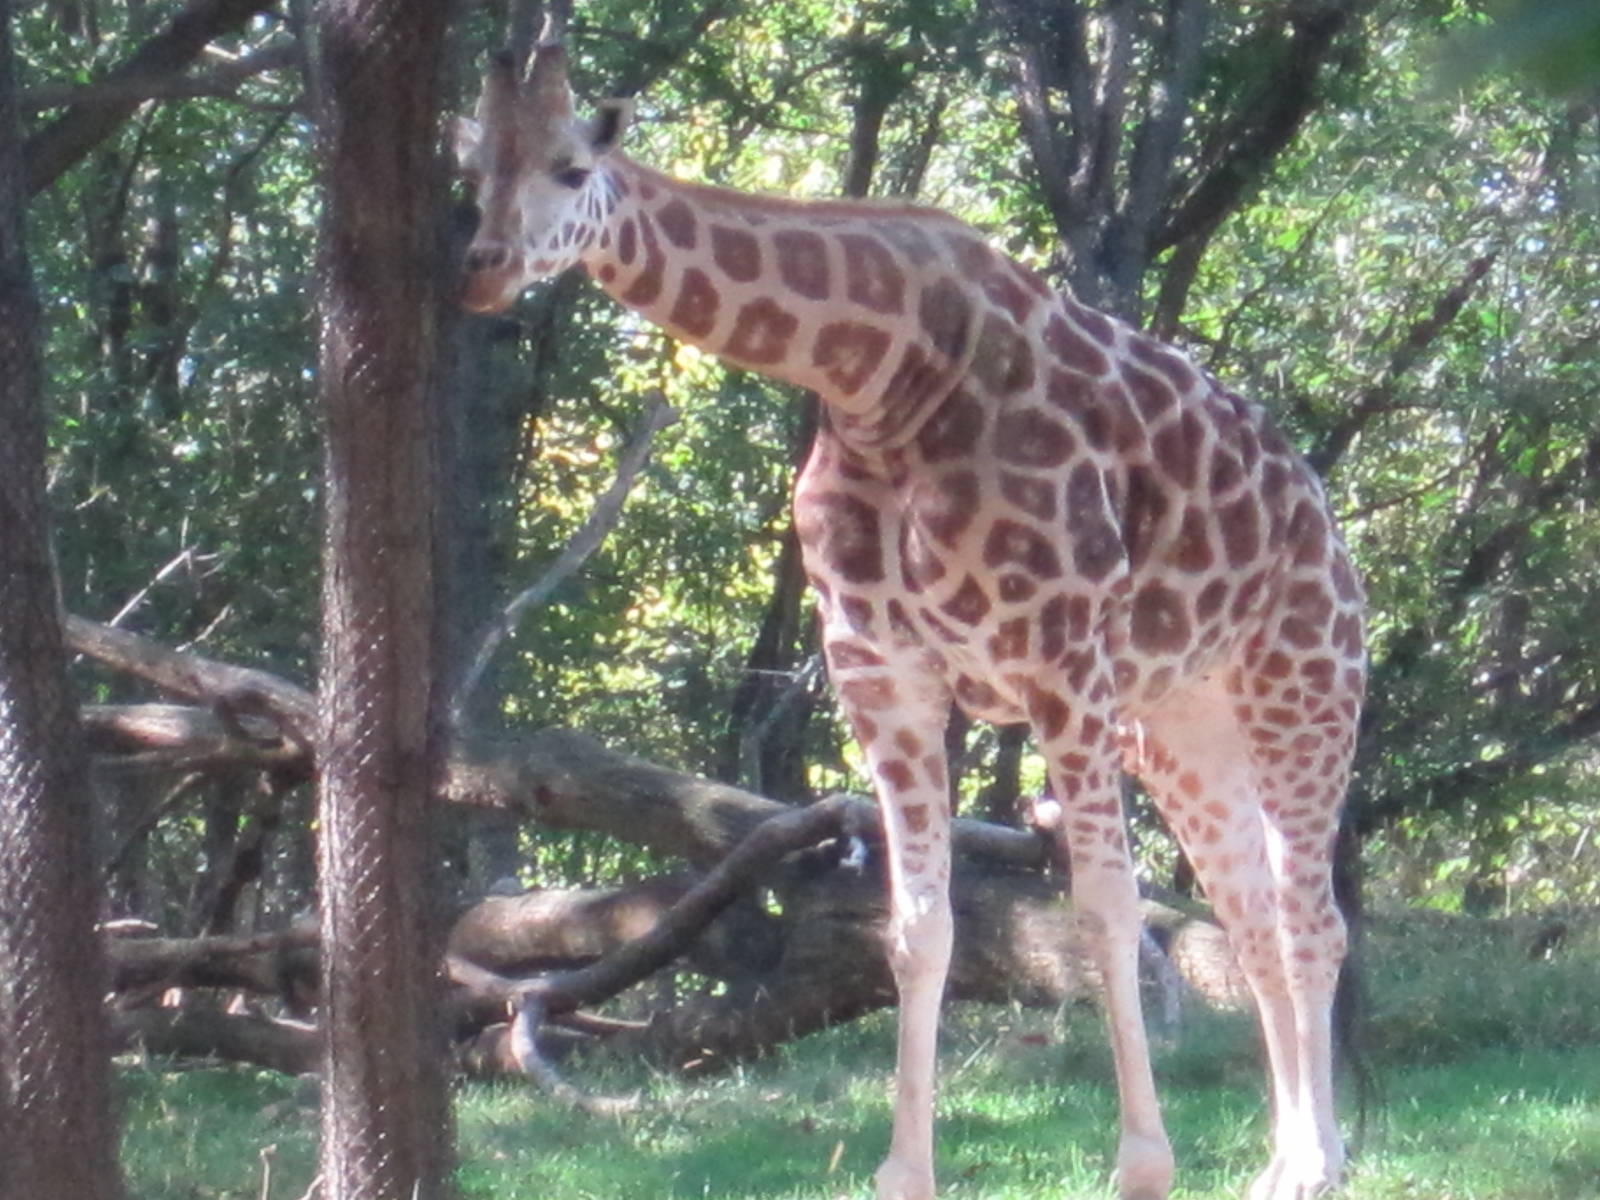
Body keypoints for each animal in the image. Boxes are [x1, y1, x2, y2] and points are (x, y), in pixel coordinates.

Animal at [454, 40, 1365, 1200]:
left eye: (571, 169)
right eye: (473, 170)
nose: (482, 268)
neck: (877, 374)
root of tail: (1319, 513)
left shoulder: (1060, 659)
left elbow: (1105, 911)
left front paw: (1143, 1166)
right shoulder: (880, 671)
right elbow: (918, 931)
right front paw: (904, 1169)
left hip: (1303, 688)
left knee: (1312, 922)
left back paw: (1323, 1162)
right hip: (1181, 728)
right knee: (1252, 920)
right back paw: (1283, 1161)